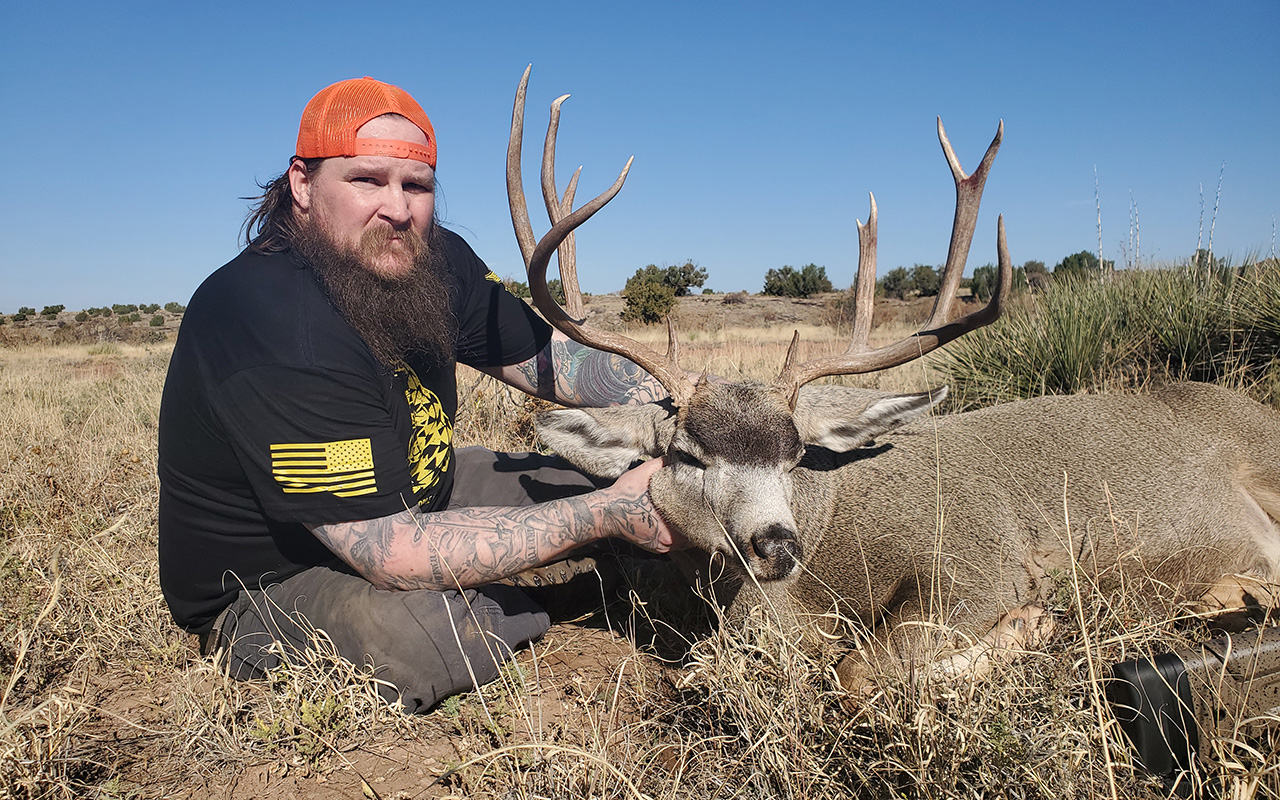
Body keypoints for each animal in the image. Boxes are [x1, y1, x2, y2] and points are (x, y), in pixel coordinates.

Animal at [501, 65, 1280, 680]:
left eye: (795, 455)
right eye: (688, 455)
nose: (777, 544)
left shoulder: (983, 556)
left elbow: (862, 671)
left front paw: (1028, 628)